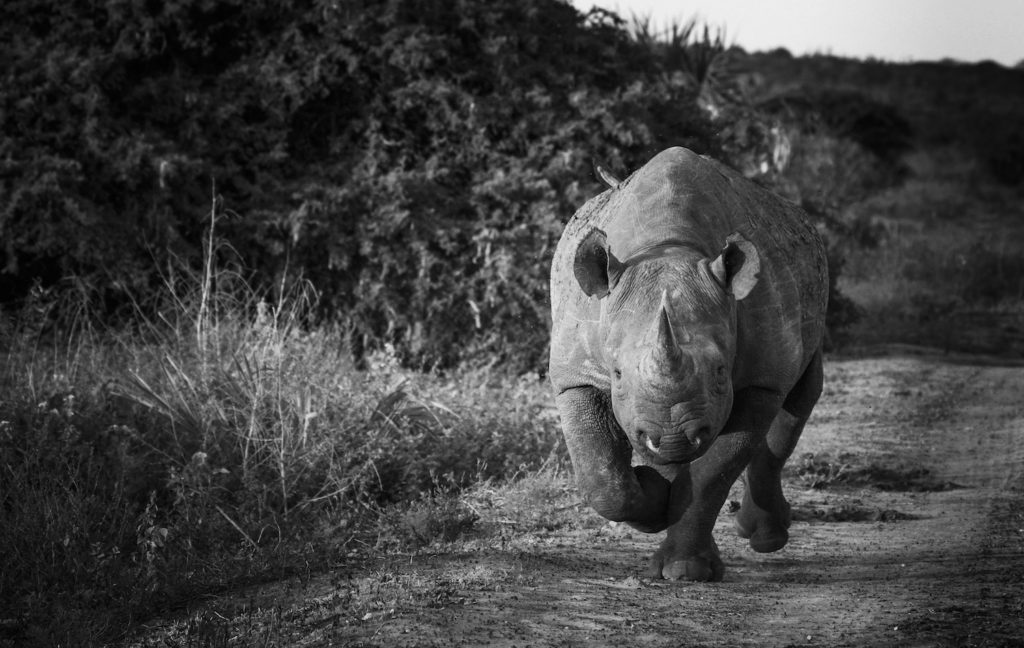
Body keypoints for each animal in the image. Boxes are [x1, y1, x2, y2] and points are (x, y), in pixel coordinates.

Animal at [548, 146, 827, 581]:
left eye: (720, 372)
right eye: (616, 374)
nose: (674, 436)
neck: (671, 245)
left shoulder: (761, 380)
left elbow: (714, 470)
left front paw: (684, 571)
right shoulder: (574, 374)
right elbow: (601, 477)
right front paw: (652, 497)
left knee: (798, 397)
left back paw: (764, 538)